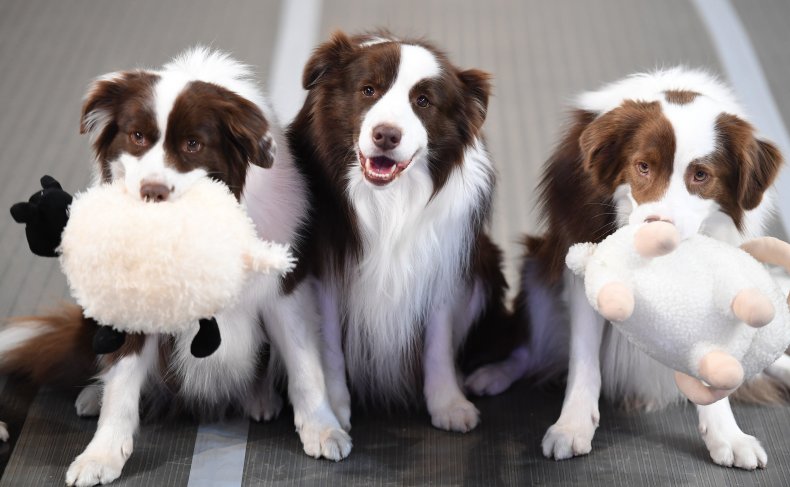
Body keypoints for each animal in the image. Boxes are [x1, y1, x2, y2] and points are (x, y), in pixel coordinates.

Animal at [0, 46, 352, 487]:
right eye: (136, 136)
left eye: (193, 144)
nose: (152, 191)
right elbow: (123, 382)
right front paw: (101, 454)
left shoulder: (287, 291)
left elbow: (306, 366)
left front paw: (323, 428)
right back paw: (93, 394)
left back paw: (260, 398)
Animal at [468, 67, 788, 468]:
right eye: (643, 166)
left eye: (701, 175)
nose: (655, 230)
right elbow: (583, 357)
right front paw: (572, 427)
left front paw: (726, 434)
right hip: (536, 268)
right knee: (530, 349)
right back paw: (495, 374)